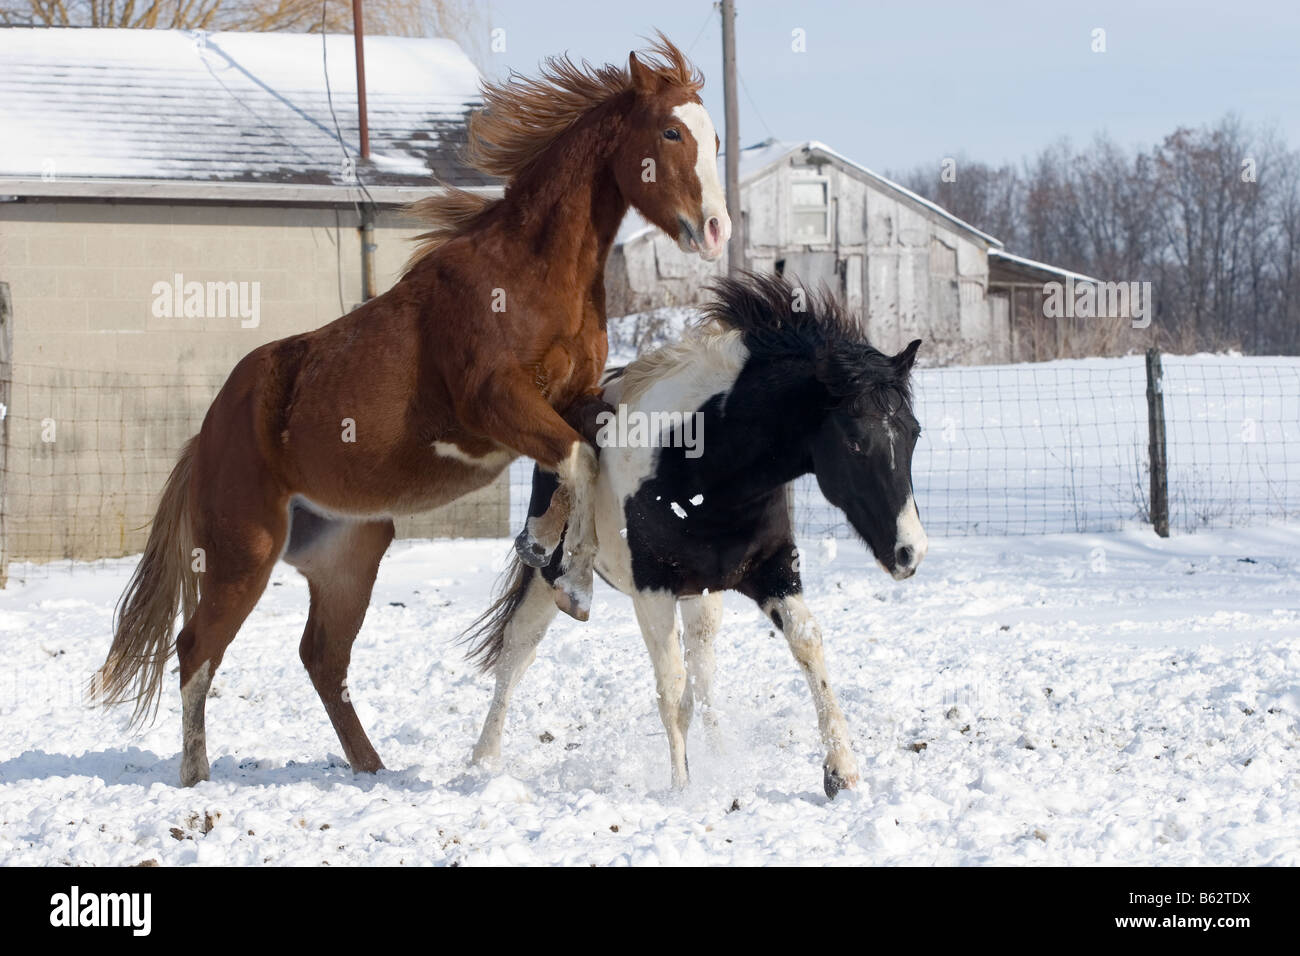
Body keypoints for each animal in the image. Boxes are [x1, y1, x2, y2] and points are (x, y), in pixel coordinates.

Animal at [93, 34, 731, 788]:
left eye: (714, 136)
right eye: (670, 132)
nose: (715, 230)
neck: (530, 275)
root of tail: (206, 436)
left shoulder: (572, 401)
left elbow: (579, 462)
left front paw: (546, 550)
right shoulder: (496, 404)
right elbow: (577, 459)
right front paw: (569, 579)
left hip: (348, 556)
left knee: (321, 657)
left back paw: (371, 768)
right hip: (243, 551)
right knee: (197, 648)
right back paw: (197, 775)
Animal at [464, 273, 927, 799]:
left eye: (913, 433)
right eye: (853, 441)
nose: (910, 552)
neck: (701, 462)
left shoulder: (772, 572)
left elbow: (806, 645)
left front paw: (842, 771)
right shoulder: (653, 590)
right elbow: (670, 687)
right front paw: (683, 789)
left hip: (703, 597)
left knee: (703, 671)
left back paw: (720, 755)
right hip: (550, 576)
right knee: (517, 653)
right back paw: (484, 761)